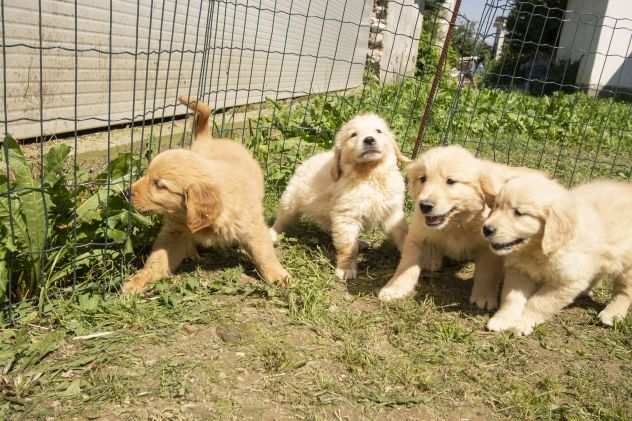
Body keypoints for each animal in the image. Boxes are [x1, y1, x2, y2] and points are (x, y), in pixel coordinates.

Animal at [122, 95, 290, 294]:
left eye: (159, 185)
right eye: (147, 175)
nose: (126, 193)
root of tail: (208, 139)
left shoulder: (253, 226)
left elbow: (263, 252)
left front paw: (277, 275)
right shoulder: (175, 232)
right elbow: (158, 258)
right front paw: (139, 279)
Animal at [270, 113, 410, 280]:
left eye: (378, 131)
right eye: (353, 135)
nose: (369, 139)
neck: (369, 175)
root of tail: (311, 158)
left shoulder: (392, 212)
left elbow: (402, 232)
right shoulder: (346, 216)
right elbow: (347, 246)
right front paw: (346, 268)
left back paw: (360, 242)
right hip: (291, 200)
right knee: (282, 219)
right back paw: (272, 234)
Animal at [380, 145, 540, 308]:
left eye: (450, 181)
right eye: (423, 179)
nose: (424, 206)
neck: (455, 223)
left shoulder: (489, 246)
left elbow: (487, 273)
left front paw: (484, 296)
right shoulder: (417, 233)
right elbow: (406, 265)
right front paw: (395, 289)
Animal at [482, 172, 632, 334]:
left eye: (519, 213)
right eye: (496, 206)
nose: (486, 229)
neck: (537, 250)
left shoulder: (565, 282)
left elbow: (538, 303)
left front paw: (521, 323)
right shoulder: (519, 271)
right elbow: (511, 297)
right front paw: (502, 319)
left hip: (627, 265)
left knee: (624, 291)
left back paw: (613, 314)